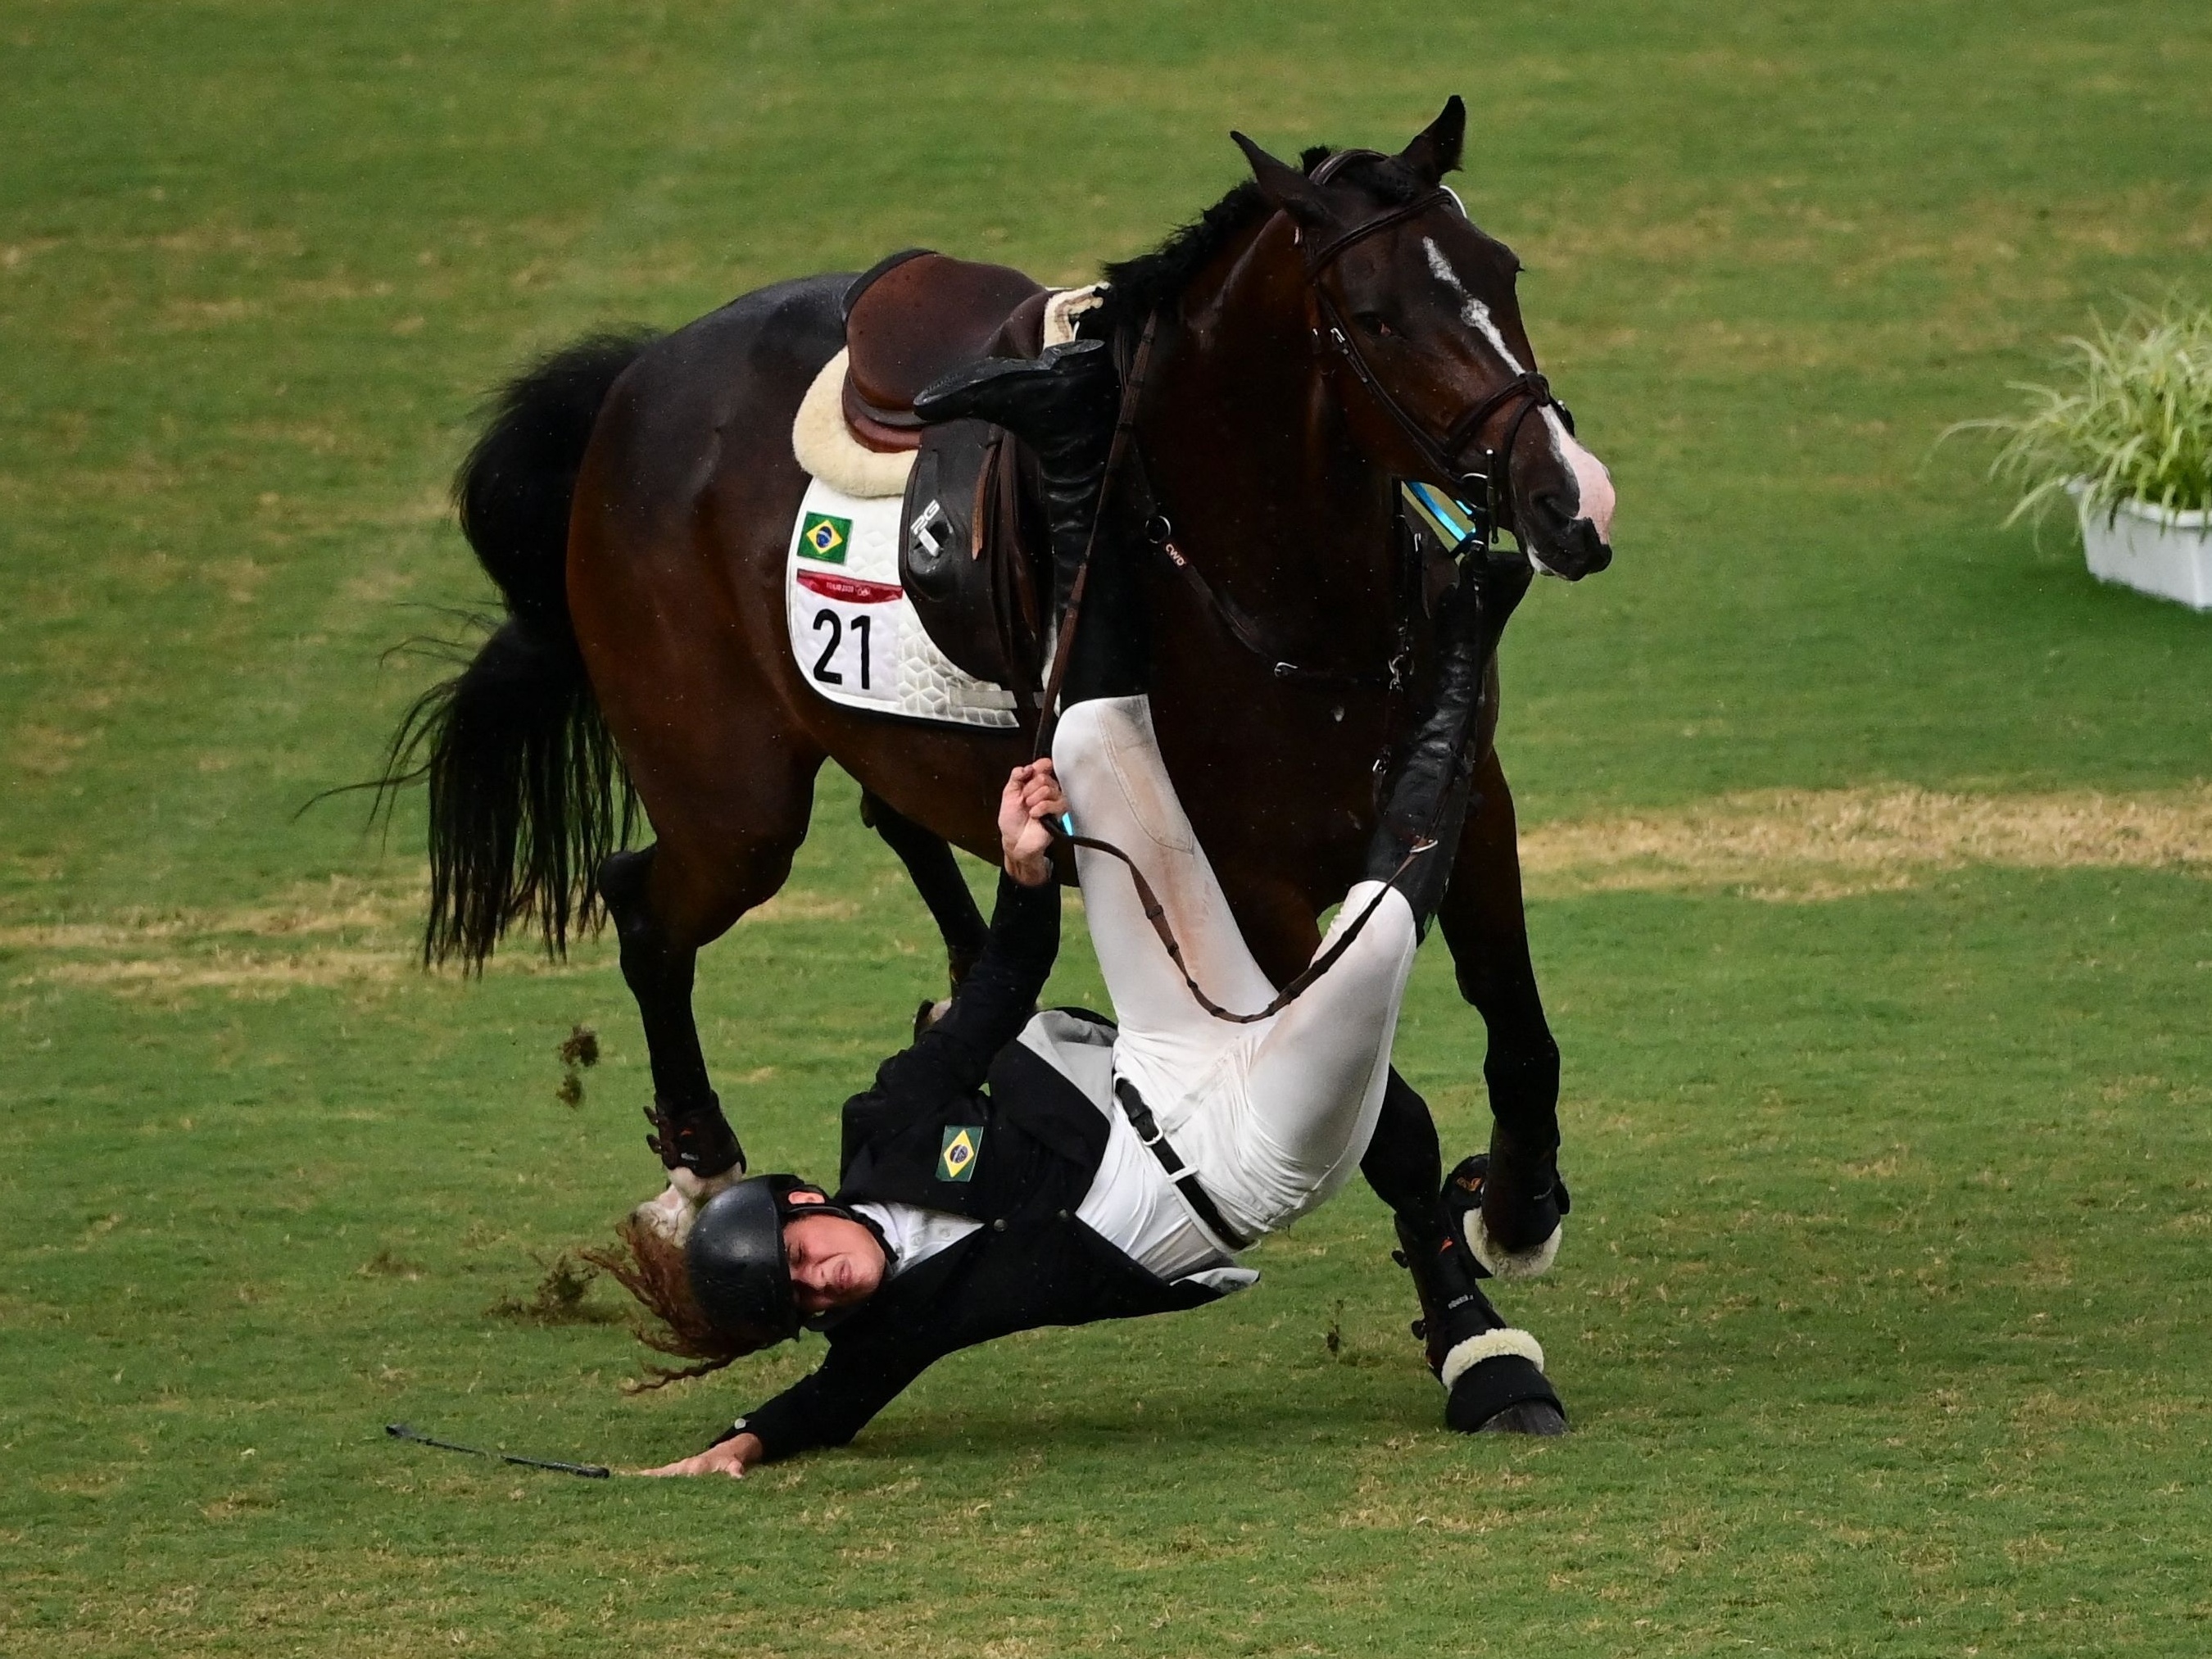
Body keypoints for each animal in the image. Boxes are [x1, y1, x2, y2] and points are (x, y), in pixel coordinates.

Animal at [393, 103, 1610, 1424]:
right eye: (1380, 316)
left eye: (1504, 272)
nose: (1568, 502)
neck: (1286, 599)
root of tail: (636, 377)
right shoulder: (1256, 886)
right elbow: (1393, 1121)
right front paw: (1477, 1344)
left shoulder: (1472, 802)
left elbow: (1520, 1030)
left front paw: (1517, 1210)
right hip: (736, 813)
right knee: (643, 904)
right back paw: (702, 1166)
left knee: (899, 836)